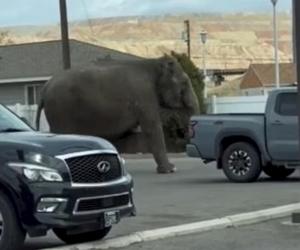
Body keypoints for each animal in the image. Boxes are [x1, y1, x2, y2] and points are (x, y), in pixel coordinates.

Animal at [35, 54, 199, 174]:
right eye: (184, 84)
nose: (180, 132)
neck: (153, 62)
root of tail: (45, 87)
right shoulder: (144, 95)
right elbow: (152, 128)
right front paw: (171, 169)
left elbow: (123, 136)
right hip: (61, 110)